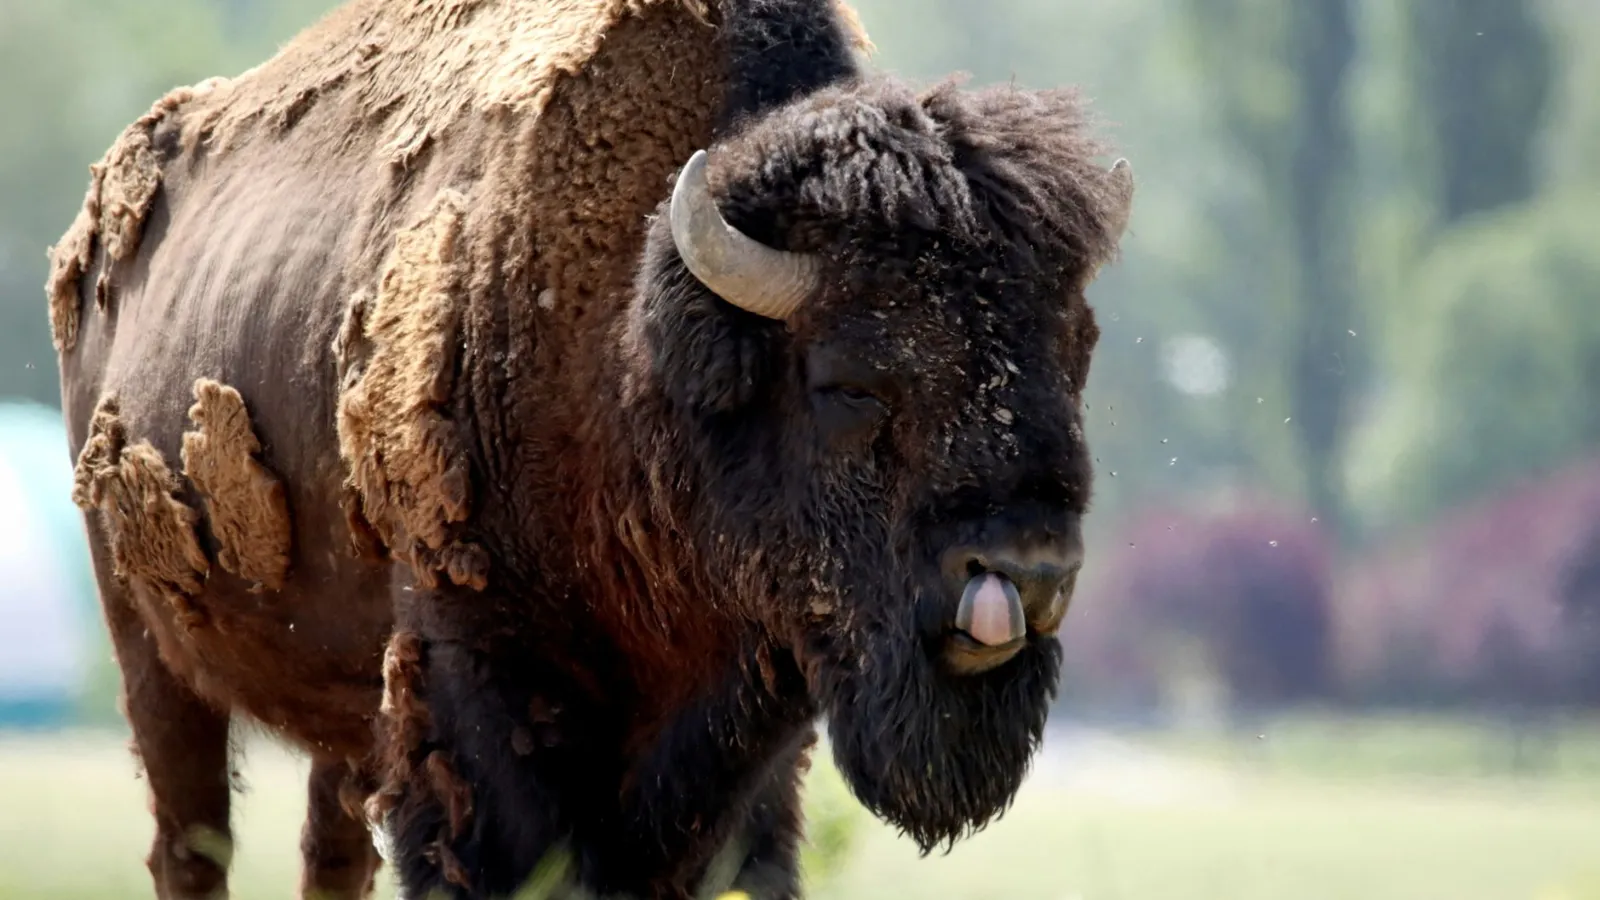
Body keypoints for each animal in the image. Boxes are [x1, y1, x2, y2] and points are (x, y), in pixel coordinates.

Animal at [50, 0, 1134, 897]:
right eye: (850, 383)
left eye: (1075, 355)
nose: (1030, 573)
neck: (628, 348)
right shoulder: (470, 693)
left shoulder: (744, 743)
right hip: (149, 649)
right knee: (191, 843)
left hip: (339, 711)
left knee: (331, 853)